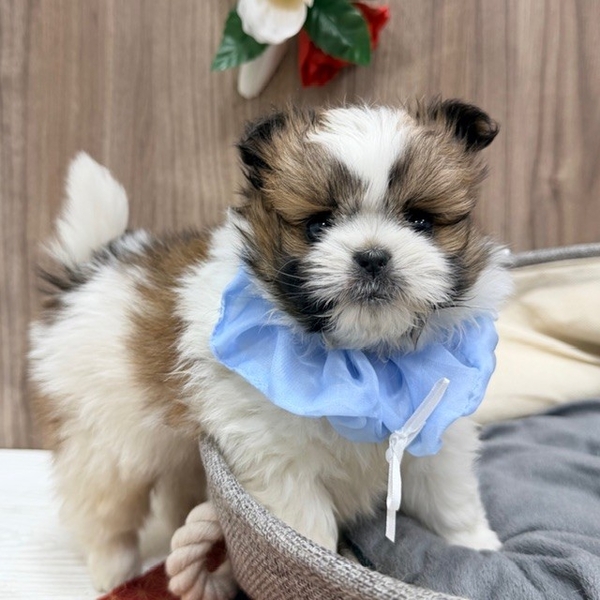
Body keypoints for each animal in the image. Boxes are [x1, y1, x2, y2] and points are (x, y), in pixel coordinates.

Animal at [29, 100, 511, 592]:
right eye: (318, 224)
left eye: (420, 220)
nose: (373, 256)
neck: (363, 357)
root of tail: (91, 267)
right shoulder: (278, 459)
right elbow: (307, 528)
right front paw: (321, 568)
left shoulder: (437, 436)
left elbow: (448, 496)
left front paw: (479, 545)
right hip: (103, 438)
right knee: (103, 509)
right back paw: (114, 570)